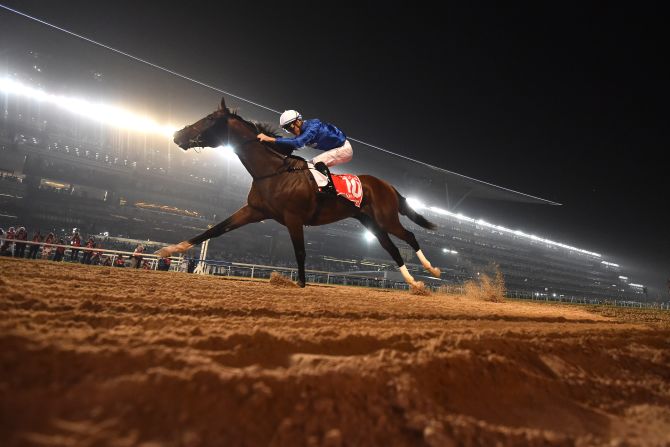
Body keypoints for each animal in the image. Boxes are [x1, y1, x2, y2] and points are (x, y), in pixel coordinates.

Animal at [156, 96, 440, 288]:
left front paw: (300, 285)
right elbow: (215, 229)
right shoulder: (254, 211)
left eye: (210, 119)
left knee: (410, 236)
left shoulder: (294, 219)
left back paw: (432, 270)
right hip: (370, 222)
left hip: (386, 218)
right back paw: (414, 282)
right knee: (391, 248)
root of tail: (387, 184)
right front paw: (170, 249)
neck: (273, 172)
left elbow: (300, 252)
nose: (177, 135)